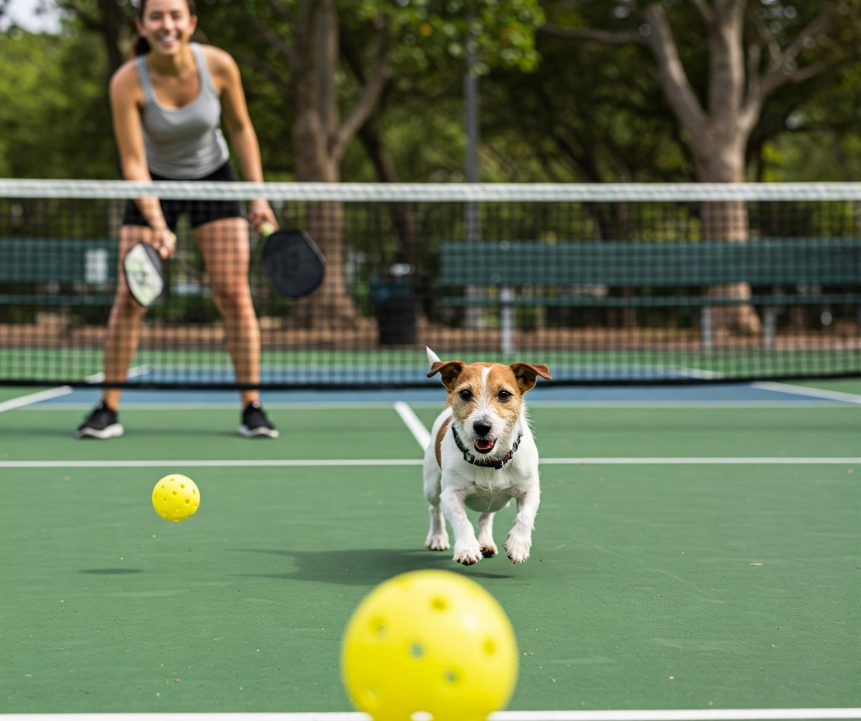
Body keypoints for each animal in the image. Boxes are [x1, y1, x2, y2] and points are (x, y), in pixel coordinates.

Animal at [424, 348, 552, 564]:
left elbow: (525, 517)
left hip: (496, 501)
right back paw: (437, 537)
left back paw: (485, 543)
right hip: (432, 487)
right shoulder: (450, 494)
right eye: (465, 393)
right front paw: (467, 548)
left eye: (504, 394)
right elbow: (462, 521)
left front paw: (518, 545)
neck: (490, 461)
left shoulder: (530, 490)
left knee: (485, 518)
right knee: (435, 509)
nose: (482, 427)